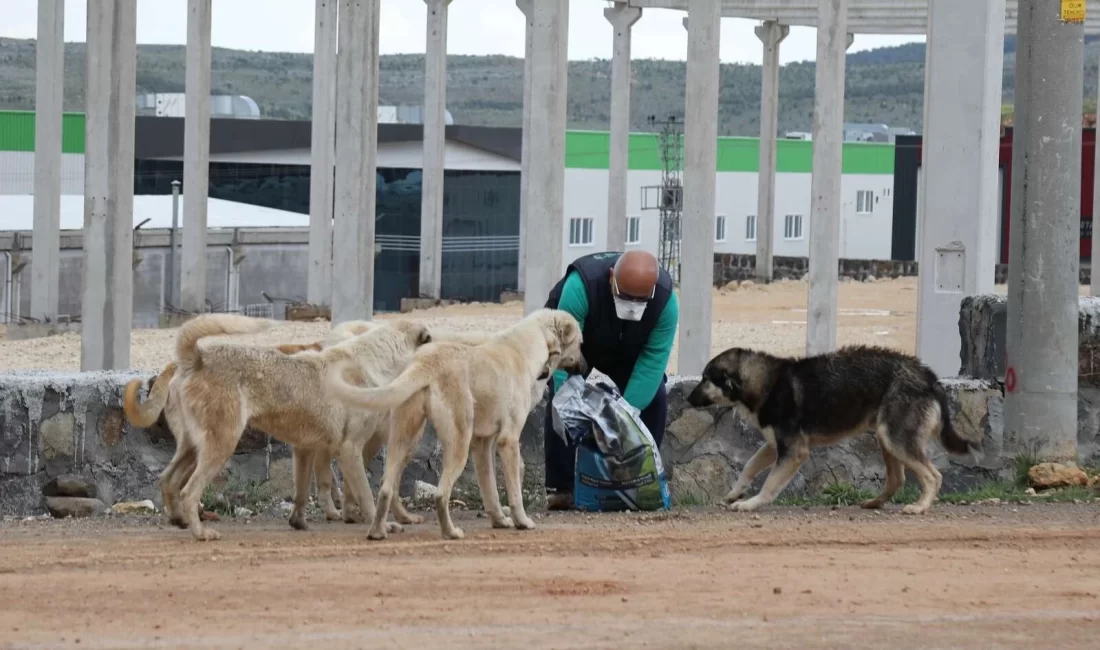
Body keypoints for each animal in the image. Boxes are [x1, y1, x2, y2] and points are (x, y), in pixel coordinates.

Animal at [323, 307, 589, 541]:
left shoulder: (482, 445)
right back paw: (450, 532)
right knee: (441, 494)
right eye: (580, 343)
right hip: (458, 442)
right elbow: (514, 491)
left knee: (386, 488)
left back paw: (378, 531)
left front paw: (499, 520)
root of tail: (427, 361)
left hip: (404, 439)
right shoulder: (508, 441)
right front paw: (522, 521)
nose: (586, 367)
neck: (523, 347)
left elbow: (490, 489)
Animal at [686, 343, 981, 516]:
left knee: (933, 476)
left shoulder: (793, 451)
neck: (766, 383)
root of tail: (929, 377)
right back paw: (874, 503)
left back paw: (920, 506)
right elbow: (748, 467)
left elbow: (769, 484)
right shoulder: (773, 446)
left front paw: (750, 503)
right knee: (897, 479)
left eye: (705, 379)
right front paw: (735, 493)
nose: (688, 400)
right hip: (886, 439)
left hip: (895, 439)